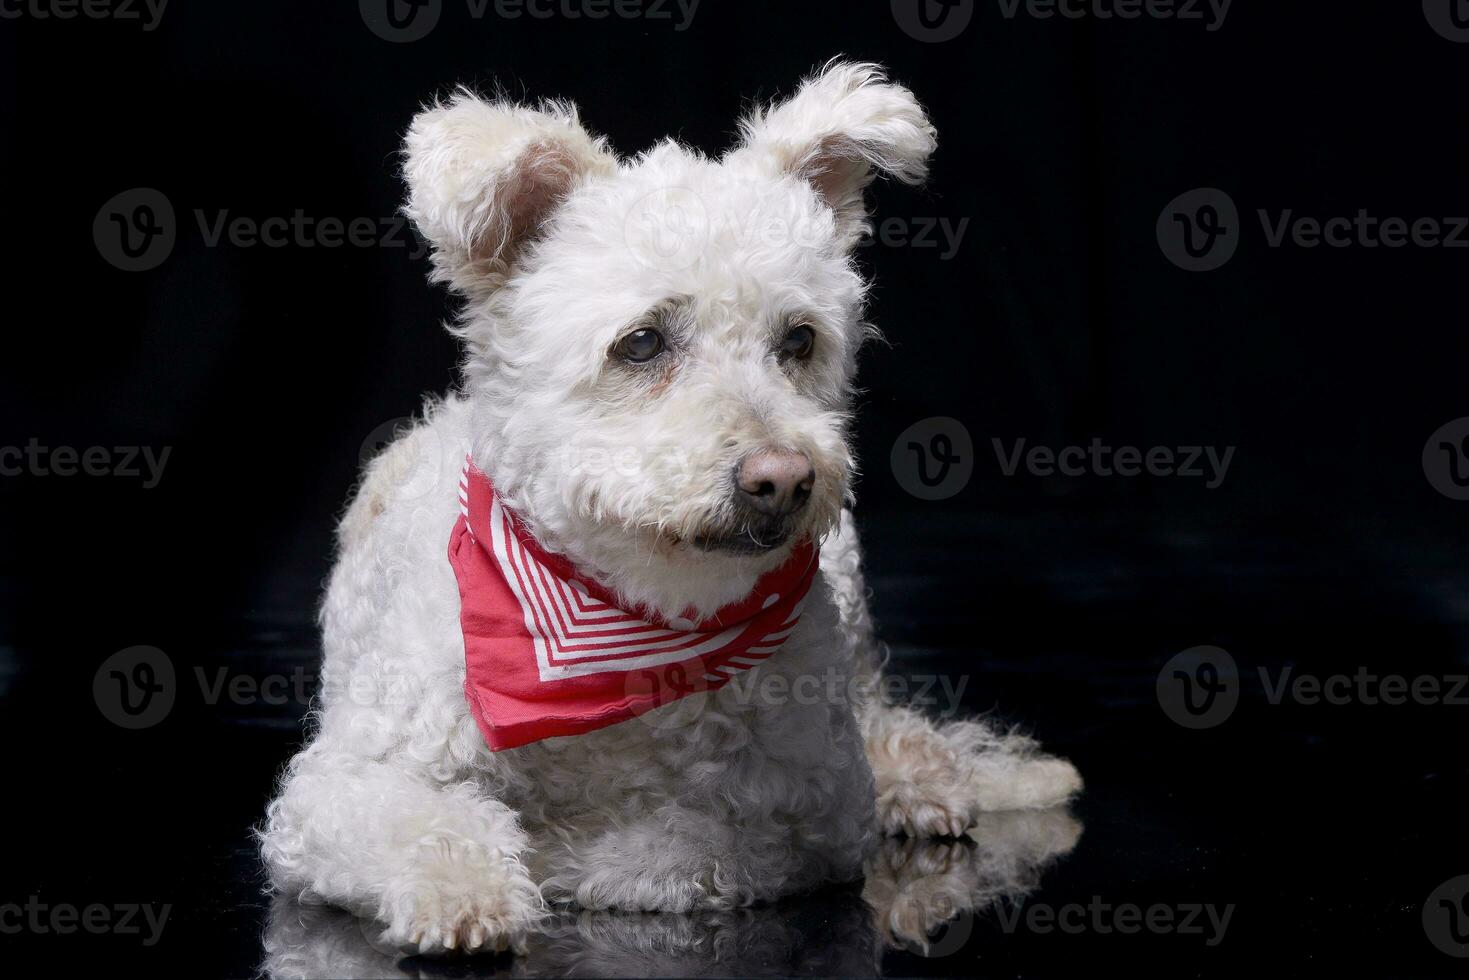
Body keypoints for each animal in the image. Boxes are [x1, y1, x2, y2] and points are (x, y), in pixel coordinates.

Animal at [258, 57, 1081, 952]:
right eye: (643, 341)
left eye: (798, 340)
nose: (783, 477)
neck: (623, 629)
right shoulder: (336, 791)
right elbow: (412, 820)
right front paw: (467, 881)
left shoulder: (809, 816)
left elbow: (668, 845)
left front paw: (558, 850)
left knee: (883, 716)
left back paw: (917, 776)